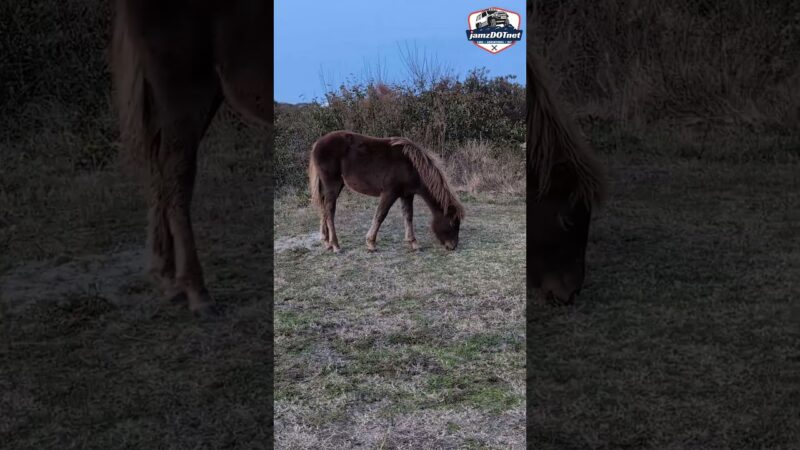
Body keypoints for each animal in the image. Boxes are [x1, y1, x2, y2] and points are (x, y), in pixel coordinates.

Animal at [308, 131, 465, 253]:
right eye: (452, 223)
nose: (453, 246)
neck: (411, 166)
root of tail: (317, 144)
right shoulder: (390, 193)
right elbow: (380, 215)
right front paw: (371, 243)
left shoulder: (406, 195)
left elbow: (408, 216)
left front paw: (413, 243)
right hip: (332, 185)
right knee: (329, 210)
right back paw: (335, 245)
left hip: (334, 186)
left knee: (324, 208)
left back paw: (326, 242)